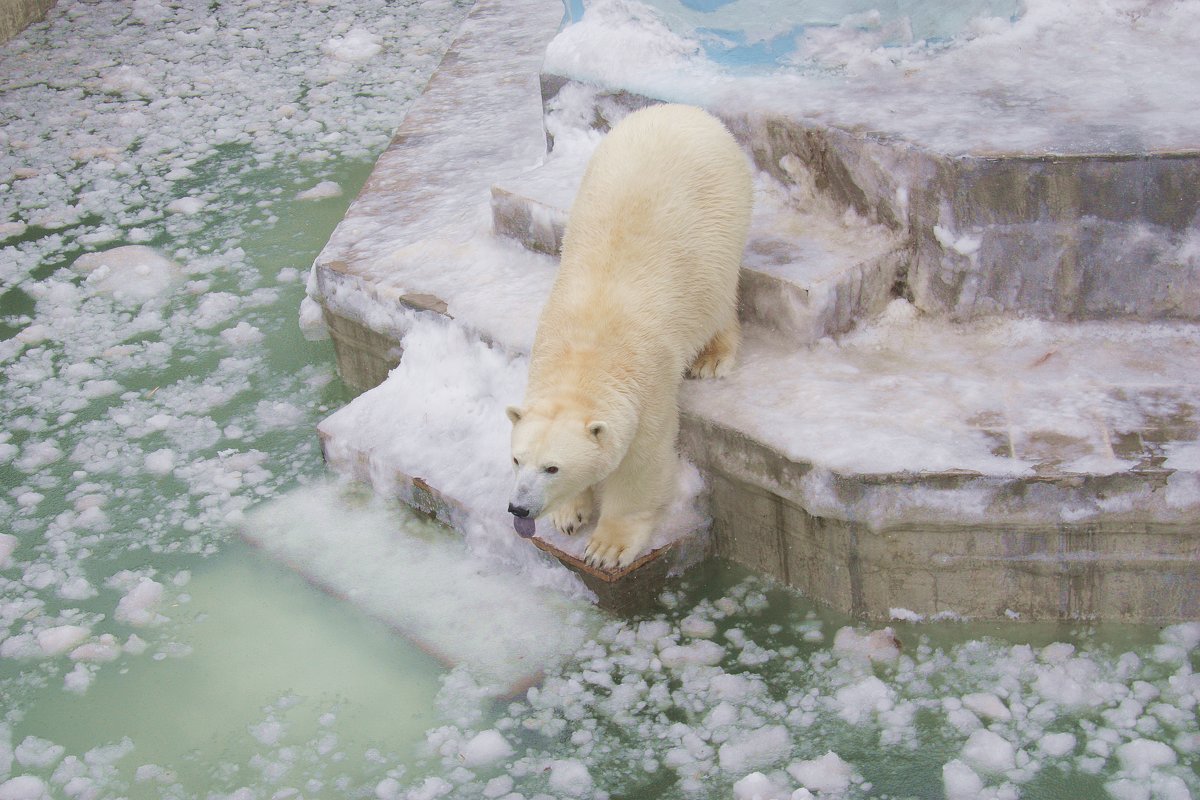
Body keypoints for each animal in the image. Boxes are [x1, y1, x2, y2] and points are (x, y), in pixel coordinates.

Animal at [504, 104, 748, 568]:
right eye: (516, 459)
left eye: (552, 467)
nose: (518, 508)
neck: (585, 353)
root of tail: (684, 110)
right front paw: (569, 514)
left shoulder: (649, 392)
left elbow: (641, 467)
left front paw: (606, 548)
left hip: (718, 217)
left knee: (718, 292)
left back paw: (713, 356)